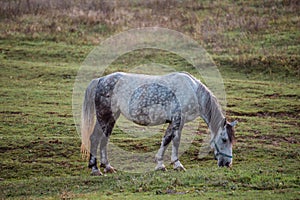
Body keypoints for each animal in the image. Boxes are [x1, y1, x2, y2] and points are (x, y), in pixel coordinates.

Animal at [81, 71, 238, 175]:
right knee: (95, 138)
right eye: (224, 139)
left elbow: (168, 140)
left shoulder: (174, 122)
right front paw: (174, 164)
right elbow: (173, 140)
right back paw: (95, 169)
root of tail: (101, 80)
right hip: (104, 116)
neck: (193, 91)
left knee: (104, 139)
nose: (228, 164)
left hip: (112, 118)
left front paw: (163, 164)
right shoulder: (177, 121)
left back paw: (107, 166)